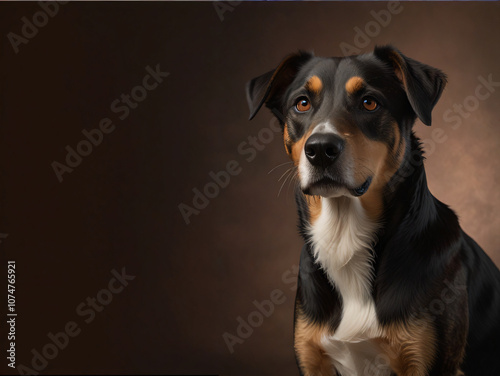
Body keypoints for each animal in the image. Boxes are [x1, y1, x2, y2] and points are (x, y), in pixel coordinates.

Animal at [245, 45, 500, 374]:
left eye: (369, 102)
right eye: (302, 103)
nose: (320, 149)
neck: (345, 235)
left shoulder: (428, 362)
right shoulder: (311, 357)